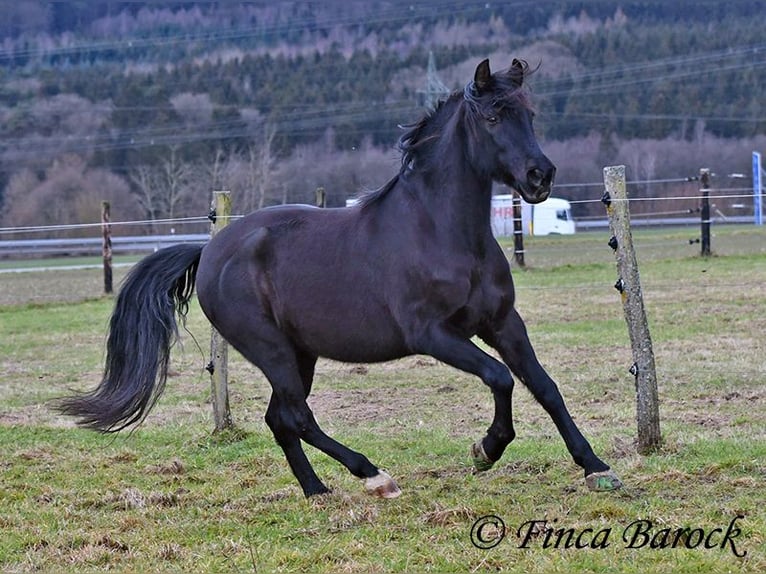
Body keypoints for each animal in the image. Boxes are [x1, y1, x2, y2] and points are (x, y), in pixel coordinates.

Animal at [60, 59, 624, 500]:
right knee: (297, 416)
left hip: (299, 353)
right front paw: (485, 449)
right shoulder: (433, 334)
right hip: (271, 350)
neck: (442, 233)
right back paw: (374, 476)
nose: (540, 176)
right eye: (491, 117)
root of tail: (210, 250)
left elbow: (544, 386)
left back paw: (317, 490)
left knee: (280, 418)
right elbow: (501, 378)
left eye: (529, 115)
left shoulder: (503, 322)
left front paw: (596, 468)